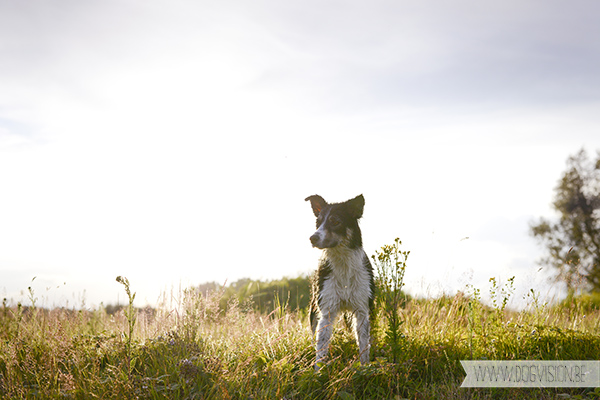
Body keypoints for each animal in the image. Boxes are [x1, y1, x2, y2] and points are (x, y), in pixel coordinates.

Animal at [304, 195, 376, 370]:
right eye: (318, 222)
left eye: (335, 221)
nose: (312, 238)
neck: (342, 263)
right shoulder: (327, 309)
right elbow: (321, 346)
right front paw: (318, 372)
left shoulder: (362, 310)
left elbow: (364, 345)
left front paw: (365, 369)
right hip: (313, 307)